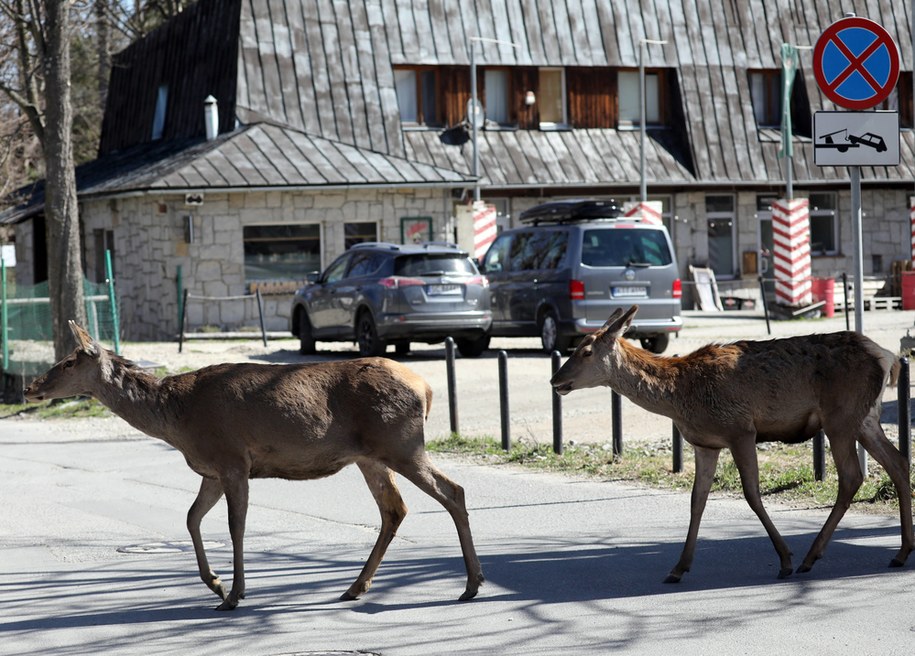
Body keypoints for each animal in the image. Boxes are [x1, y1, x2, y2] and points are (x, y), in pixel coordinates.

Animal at [25, 320, 484, 612]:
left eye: (69, 361)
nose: (30, 387)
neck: (177, 421)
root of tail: (425, 388)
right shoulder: (211, 470)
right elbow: (191, 518)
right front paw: (216, 583)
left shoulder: (232, 459)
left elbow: (235, 526)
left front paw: (234, 594)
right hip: (371, 456)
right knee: (395, 509)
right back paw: (356, 587)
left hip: (402, 444)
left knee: (453, 491)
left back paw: (471, 585)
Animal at [548, 304, 912, 580]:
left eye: (586, 351)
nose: (555, 379)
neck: (679, 397)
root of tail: (888, 357)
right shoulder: (705, 444)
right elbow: (697, 500)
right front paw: (678, 568)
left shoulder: (740, 429)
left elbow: (752, 494)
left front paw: (785, 559)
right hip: (865, 419)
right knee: (898, 462)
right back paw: (901, 552)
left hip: (840, 418)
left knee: (852, 476)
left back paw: (810, 557)